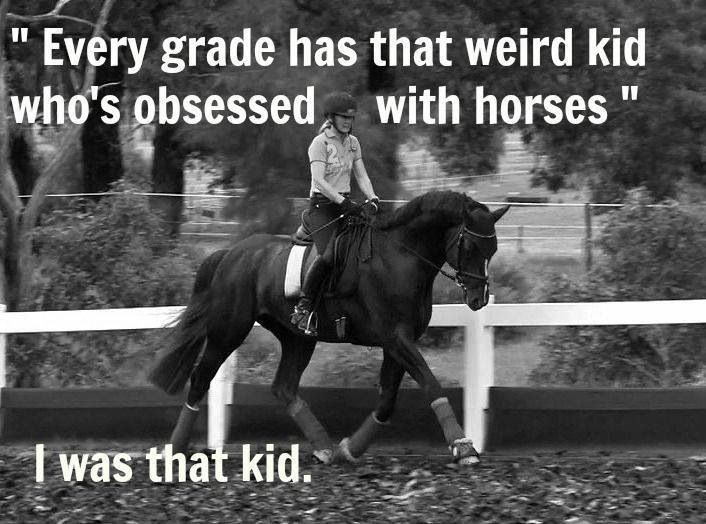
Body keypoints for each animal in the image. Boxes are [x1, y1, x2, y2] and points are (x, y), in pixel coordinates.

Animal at [148, 190, 506, 464]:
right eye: (470, 246)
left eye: (493, 249)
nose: (478, 298)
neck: (400, 258)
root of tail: (231, 253)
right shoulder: (396, 338)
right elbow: (431, 384)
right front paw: (463, 447)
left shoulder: (397, 343)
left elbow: (387, 401)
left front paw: (351, 449)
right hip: (229, 330)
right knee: (201, 378)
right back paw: (175, 450)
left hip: (297, 338)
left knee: (284, 387)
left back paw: (325, 448)